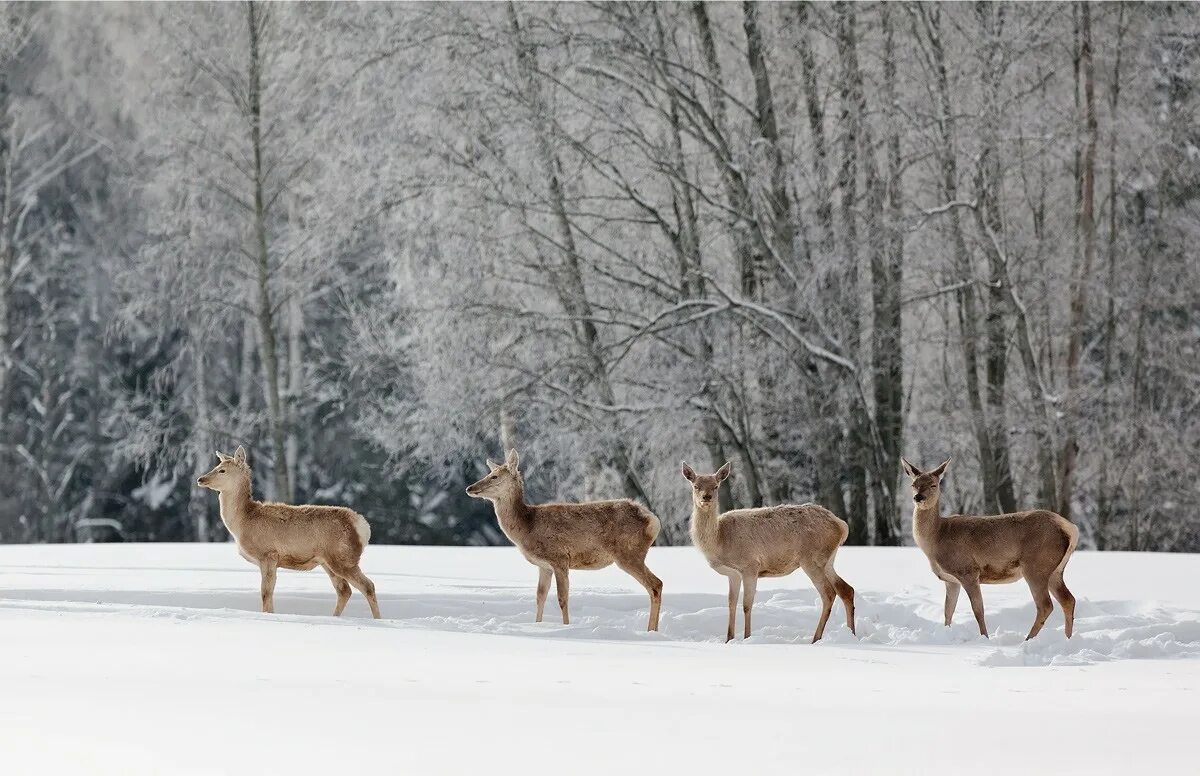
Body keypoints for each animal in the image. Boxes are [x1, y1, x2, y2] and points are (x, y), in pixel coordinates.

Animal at [196, 448, 381, 618]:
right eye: (215, 466)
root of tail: (363, 526)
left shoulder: (268, 554)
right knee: (344, 590)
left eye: (222, 470)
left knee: (368, 586)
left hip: (343, 557)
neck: (243, 522)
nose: (200, 479)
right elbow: (269, 592)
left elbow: (265, 592)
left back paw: (377, 619)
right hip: (327, 561)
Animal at [463, 448, 667, 633]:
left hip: (629, 553)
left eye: (495, 476)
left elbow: (562, 598)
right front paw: (537, 625)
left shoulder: (560, 558)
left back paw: (651, 631)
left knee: (656, 584)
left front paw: (566, 628)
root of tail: (652, 520)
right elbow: (540, 596)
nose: (469, 488)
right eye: (489, 473)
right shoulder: (544, 566)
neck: (528, 527)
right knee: (655, 585)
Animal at [686, 460, 854, 642]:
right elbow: (731, 603)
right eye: (696, 486)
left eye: (716, 486)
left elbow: (746, 604)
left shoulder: (750, 565)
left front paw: (747, 637)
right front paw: (729, 639)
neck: (720, 541)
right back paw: (851, 633)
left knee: (829, 594)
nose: (706, 497)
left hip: (812, 558)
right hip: (828, 560)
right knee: (846, 589)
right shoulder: (733, 574)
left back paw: (816, 639)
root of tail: (841, 526)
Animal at [902, 458, 1080, 642]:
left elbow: (978, 610)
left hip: (1037, 565)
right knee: (1068, 600)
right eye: (913, 484)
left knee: (1046, 605)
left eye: (934, 484)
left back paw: (1027, 640)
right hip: (1055, 570)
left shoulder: (967, 571)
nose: (918, 497)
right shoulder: (950, 580)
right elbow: (948, 612)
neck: (937, 538)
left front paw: (984, 638)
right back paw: (1067, 639)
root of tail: (1071, 528)